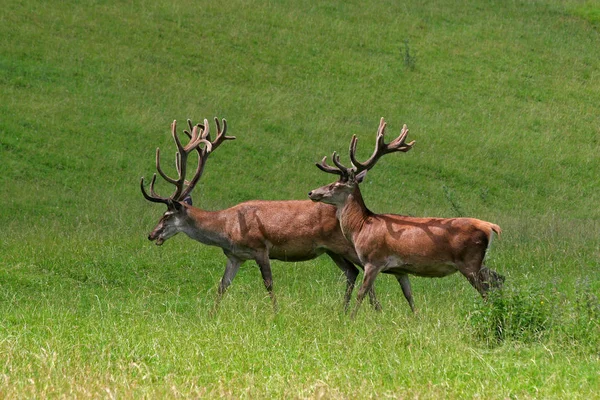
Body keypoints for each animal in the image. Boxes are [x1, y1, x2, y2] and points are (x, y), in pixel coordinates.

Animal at [142, 117, 382, 310]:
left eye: (167, 215)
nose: (151, 235)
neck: (227, 228)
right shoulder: (235, 256)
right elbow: (222, 286)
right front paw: (212, 314)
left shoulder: (260, 248)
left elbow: (268, 283)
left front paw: (276, 313)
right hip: (331, 250)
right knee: (352, 272)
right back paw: (347, 310)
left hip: (347, 245)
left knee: (366, 271)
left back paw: (373, 310)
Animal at [308, 117, 504, 318]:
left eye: (335, 185)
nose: (312, 192)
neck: (360, 227)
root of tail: (490, 226)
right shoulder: (400, 269)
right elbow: (409, 295)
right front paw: (417, 318)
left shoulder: (373, 260)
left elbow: (362, 293)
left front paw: (351, 318)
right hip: (480, 262)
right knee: (499, 279)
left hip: (469, 262)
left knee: (487, 290)